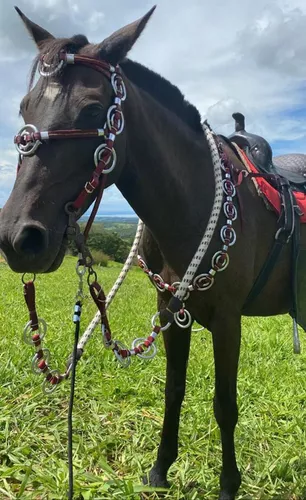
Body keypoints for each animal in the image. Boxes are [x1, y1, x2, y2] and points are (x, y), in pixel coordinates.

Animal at [0, 5, 304, 498]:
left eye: (91, 108)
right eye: (26, 107)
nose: (17, 238)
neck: (195, 201)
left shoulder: (228, 320)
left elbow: (225, 403)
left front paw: (228, 484)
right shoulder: (171, 310)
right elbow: (174, 390)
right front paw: (161, 469)